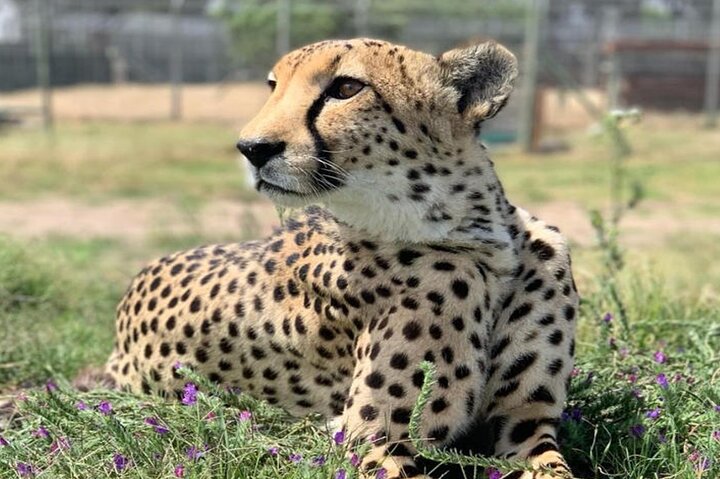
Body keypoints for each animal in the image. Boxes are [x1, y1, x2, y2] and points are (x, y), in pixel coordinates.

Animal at [106, 38, 579, 479]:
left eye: (347, 88)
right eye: (274, 87)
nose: (252, 148)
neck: (480, 239)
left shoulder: (525, 423)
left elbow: (556, 467)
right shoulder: (371, 439)